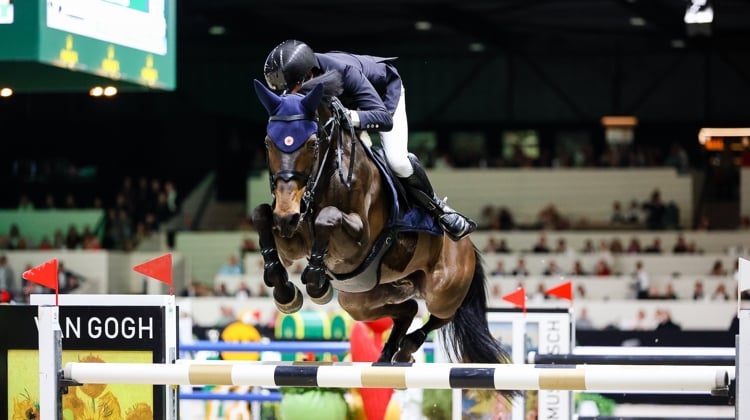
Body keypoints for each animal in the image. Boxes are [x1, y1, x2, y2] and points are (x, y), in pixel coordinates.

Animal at [253, 71, 516, 394]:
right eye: (268, 143)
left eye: (312, 143)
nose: (286, 216)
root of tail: (469, 247)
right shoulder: (293, 238)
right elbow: (261, 215)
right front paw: (284, 290)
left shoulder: (356, 244)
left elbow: (327, 218)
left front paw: (316, 282)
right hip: (360, 299)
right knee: (407, 309)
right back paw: (390, 353)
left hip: (442, 290)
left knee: (442, 314)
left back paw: (407, 347)